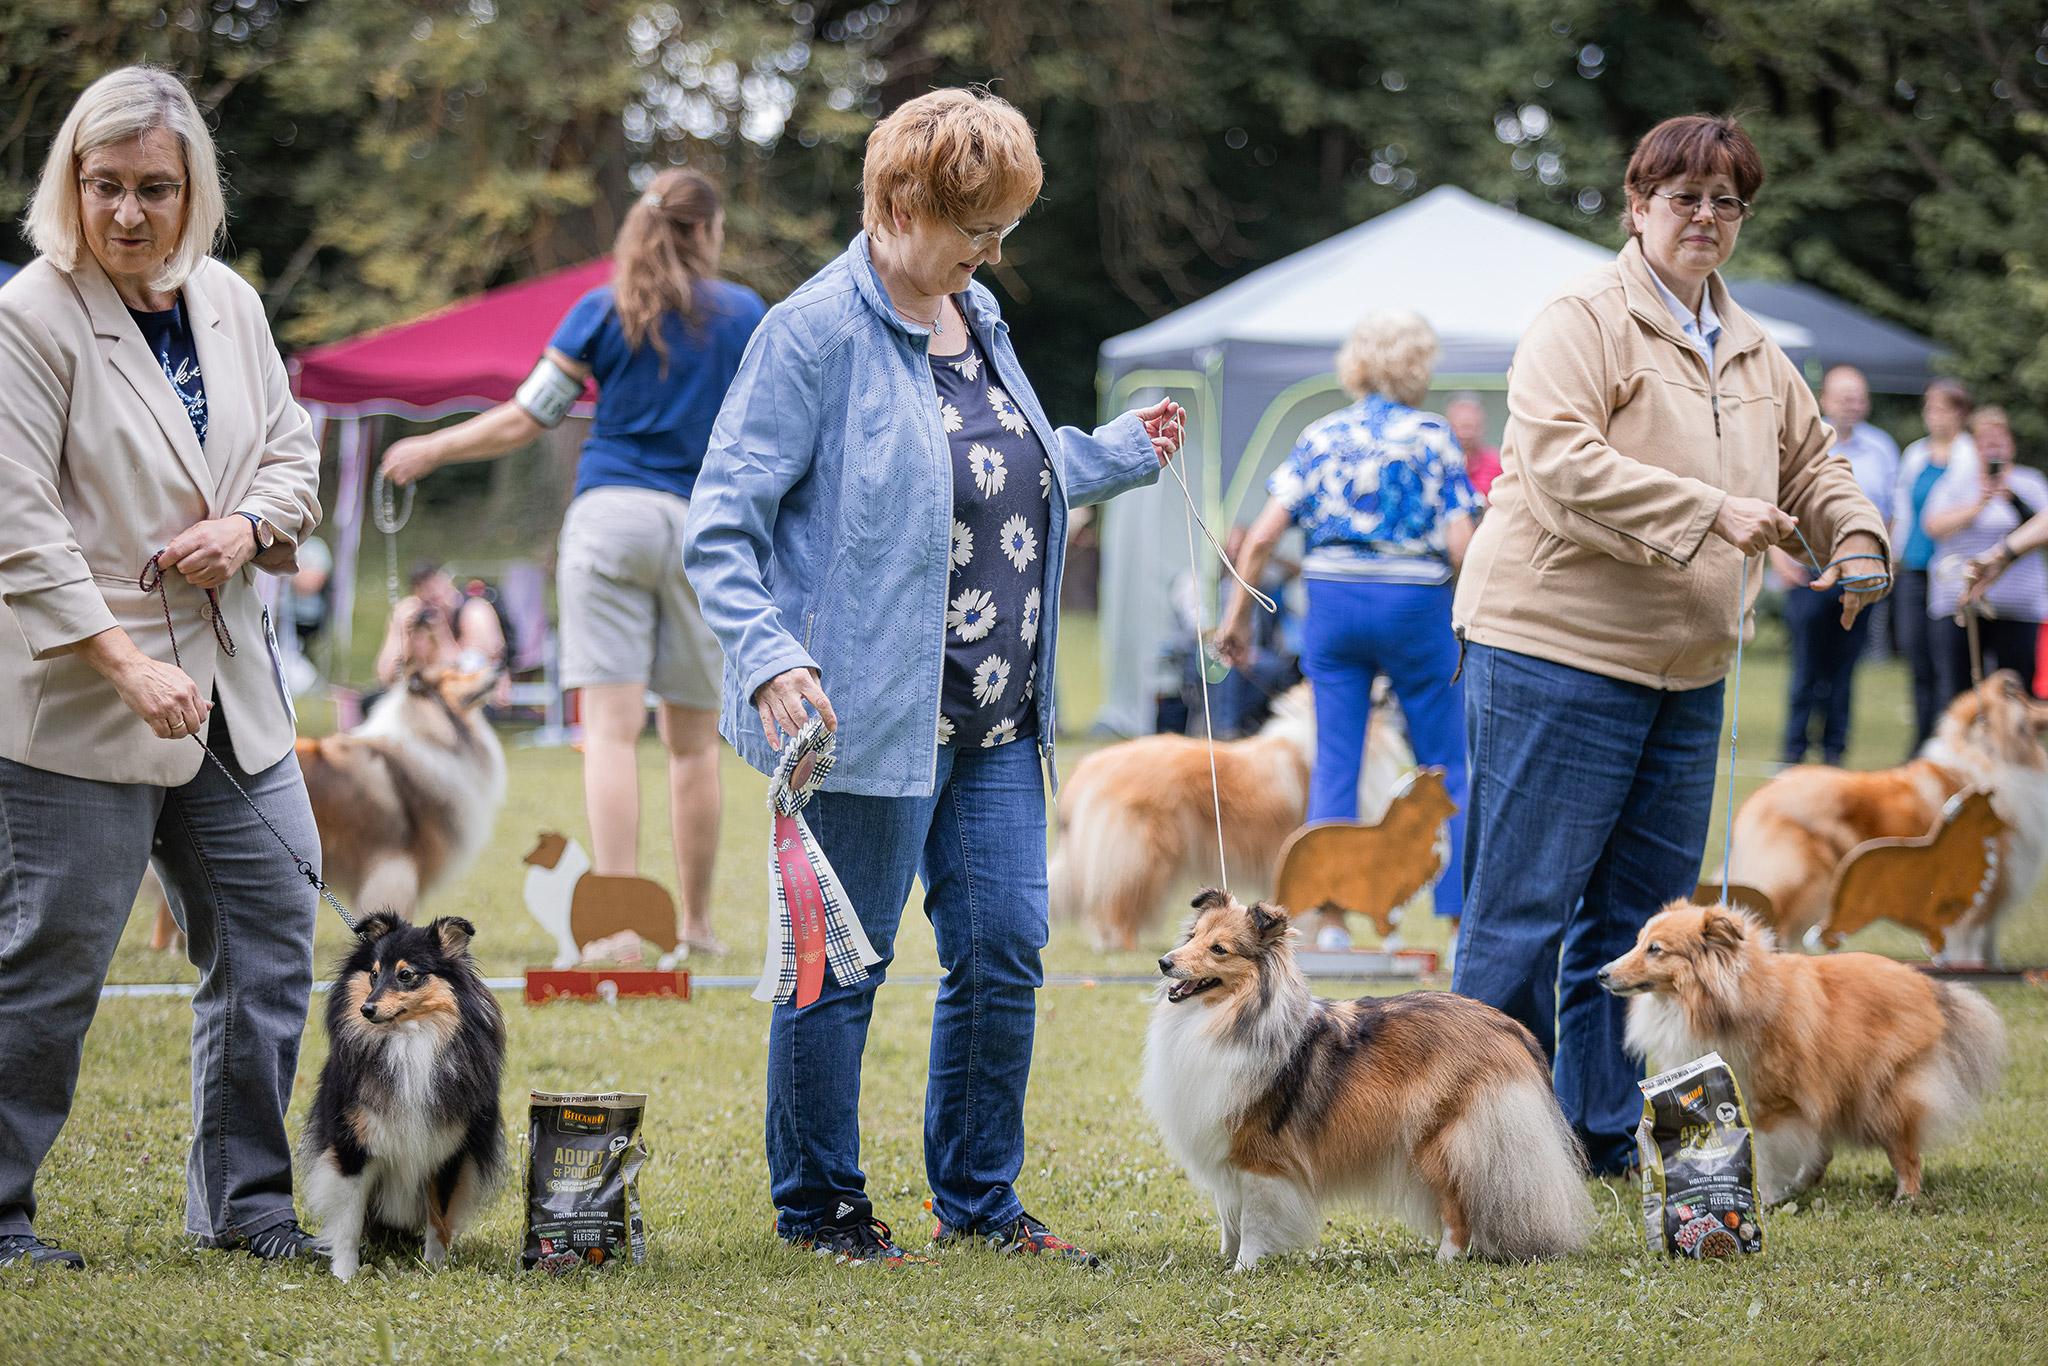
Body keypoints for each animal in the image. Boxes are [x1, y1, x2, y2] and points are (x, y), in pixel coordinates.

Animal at [303, 913, 512, 1286]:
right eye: (373, 974)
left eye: (406, 975)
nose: (366, 1009)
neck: (409, 1041)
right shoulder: (352, 1147)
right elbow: (348, 1221)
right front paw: (345, 1274)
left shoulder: (447, 1152)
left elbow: (439, 1218)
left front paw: (435, 1268)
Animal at [1138, 892, 1597, 1269]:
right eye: (1193, 935)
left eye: (1219, 949)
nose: (1164, 962)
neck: (1225, 1018)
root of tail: (1511, 1027)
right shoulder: (1224, 1148)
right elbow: (1228, 1217)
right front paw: (1224, 1259)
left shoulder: (1260, 1159)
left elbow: (1253, 1221)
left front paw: (1244, 1268)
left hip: (1441, 1141)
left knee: (1458, 1208)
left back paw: (1445, 1259)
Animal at [1597, 901, 1998, 1204]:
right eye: (1639, 942)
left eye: (1655, 949)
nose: (1602, 974)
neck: (1724, 1001)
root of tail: (1928, 984)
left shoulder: (1772, 1102)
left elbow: (1767, 1151)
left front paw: (1765, 1195)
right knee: (1824, 1149)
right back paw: (1804, 1184)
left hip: (1881, 1094)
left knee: (1904, 1150)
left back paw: (1905, 1196)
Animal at [1728, 671, 2048, 962]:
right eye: (2022, 697)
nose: (2011, 678)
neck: (1990, 758)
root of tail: (1761, 794)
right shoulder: (1977, 899)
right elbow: (1970, 946)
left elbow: (1988, 944)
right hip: (1809, 883)